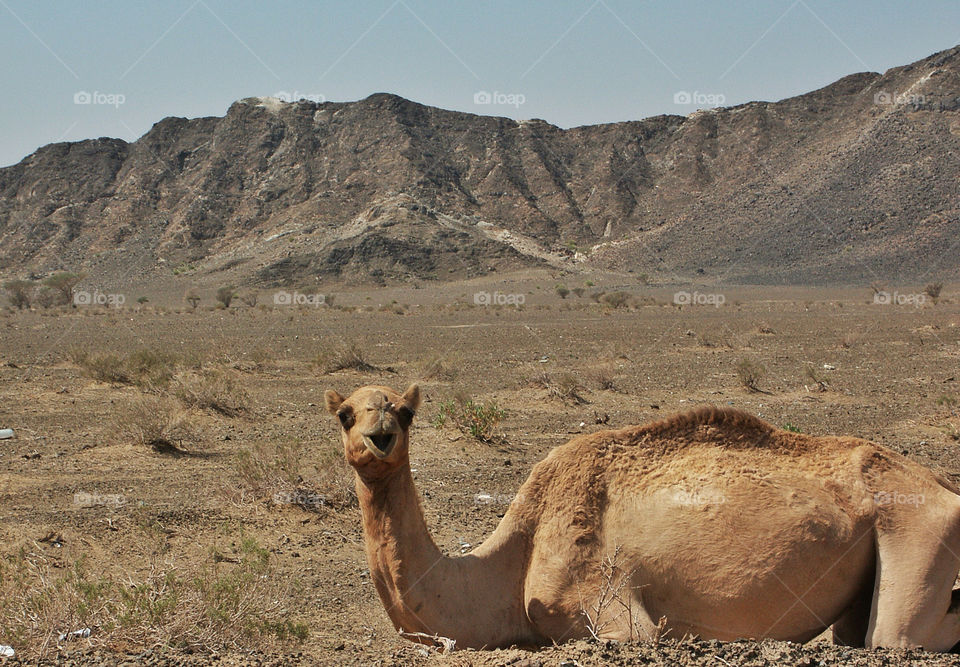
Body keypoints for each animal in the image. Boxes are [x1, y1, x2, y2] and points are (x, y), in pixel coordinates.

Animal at [324, 386, 960, 652]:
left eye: (404, 413)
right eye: (345, 413)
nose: (379, 437)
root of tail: (940, 481)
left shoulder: (606, 610)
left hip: (920, 526)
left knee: (894, 636)